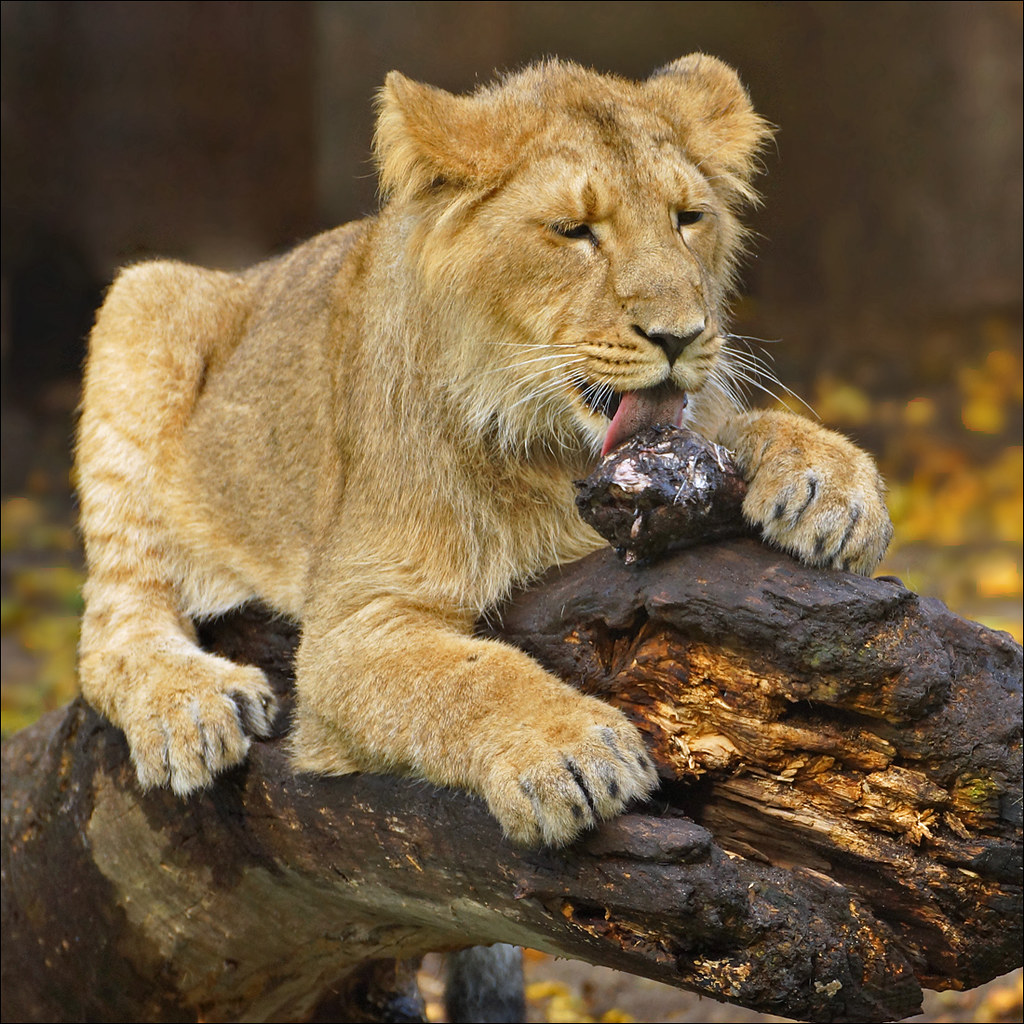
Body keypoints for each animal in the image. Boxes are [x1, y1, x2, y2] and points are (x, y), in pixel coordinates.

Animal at [75, 55, 892, 847]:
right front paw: (573, 750)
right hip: (146, 299)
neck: (560, 453)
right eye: (574, 230)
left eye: (688, 219)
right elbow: (471, 676)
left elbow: (736, 425)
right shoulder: (352, 624)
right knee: (110, 626)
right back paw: (190, 705)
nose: (680, 336)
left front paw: (830, 486)